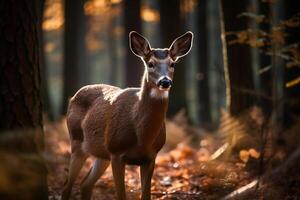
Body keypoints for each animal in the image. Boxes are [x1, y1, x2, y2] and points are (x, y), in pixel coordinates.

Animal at [61, 30, 193, 200]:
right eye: (150, 64)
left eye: (172, 64)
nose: (165, 82)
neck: (142, 138)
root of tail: (74, 95)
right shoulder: (116, 152)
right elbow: (121, 194)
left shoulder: (151, 157)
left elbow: (146, 195)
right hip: (77, 142)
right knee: (67, 185)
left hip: (101, 154)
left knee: (85, 184)